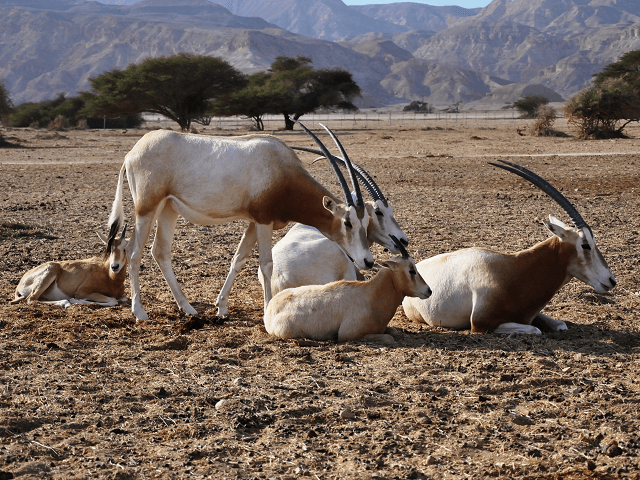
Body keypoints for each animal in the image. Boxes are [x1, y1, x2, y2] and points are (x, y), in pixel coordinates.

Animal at [262, 235, 432, 342]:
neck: (370, 295)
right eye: (411, 270)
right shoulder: (348, 334)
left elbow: (393, 331)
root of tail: (270, 307)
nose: (428, 290)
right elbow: (389, 338)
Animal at [402, 160, 616, 334]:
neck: (513, 272)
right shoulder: (480, 324)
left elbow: (560, 324)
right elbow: (535, 330)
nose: (611, 280)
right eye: (585, 245)